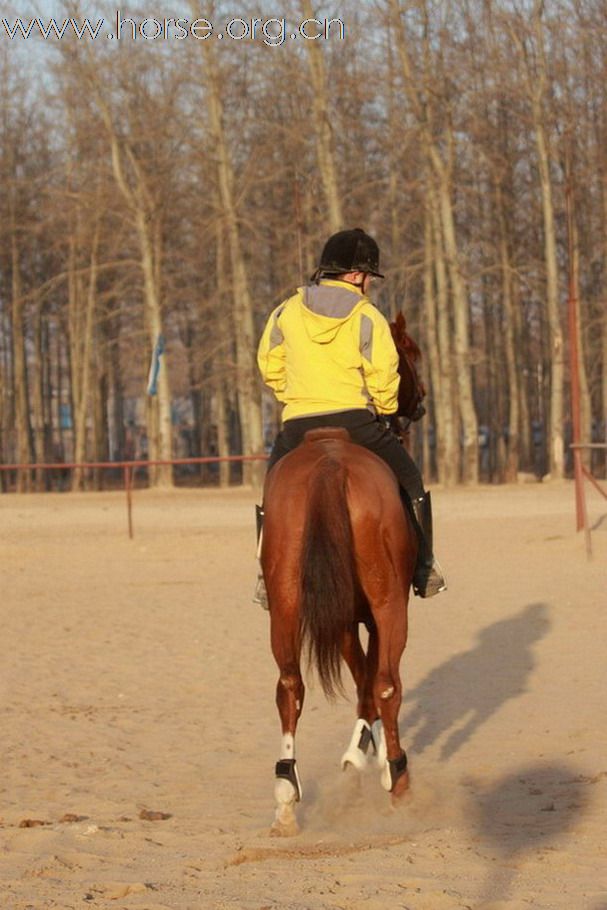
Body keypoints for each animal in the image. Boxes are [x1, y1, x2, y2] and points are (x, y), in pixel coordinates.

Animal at [262, 312, 428, 832]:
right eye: (409, 352)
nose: (420, 400)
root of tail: (329, 463)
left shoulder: (339, 615)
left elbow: (359, 676)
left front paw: (358, 752)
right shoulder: (372, 612)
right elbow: (372, 678)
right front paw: (369, 756)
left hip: (286, 603)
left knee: (289, 685)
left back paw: (285, 797)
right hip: (390, 603)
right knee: (389, 683)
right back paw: (399, 780)